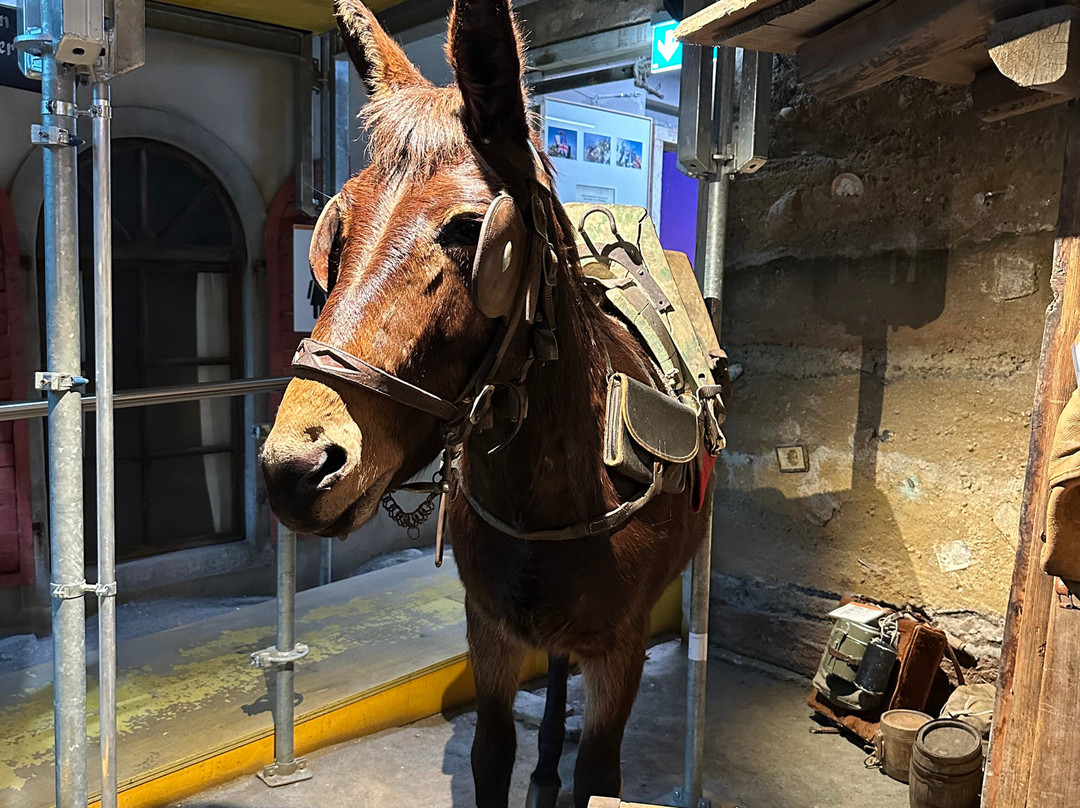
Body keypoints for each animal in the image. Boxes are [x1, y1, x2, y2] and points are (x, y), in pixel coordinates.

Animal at [259, 1, 712, 805]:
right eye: (334, 232)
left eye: (475, 231)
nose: (297, 466)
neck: (551, 494)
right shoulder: (490, 631)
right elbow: (491, 754)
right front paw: (527, 768)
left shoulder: (621, 648)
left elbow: (599, 776)